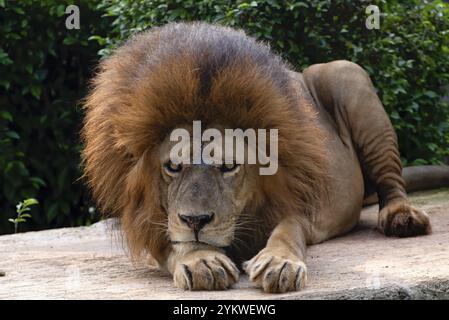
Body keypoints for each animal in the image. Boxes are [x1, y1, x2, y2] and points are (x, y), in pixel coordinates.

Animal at [81, 21, 448, 292]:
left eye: (229, 166)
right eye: (173, 167)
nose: (196, 221)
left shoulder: (296, 204)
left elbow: (286, 231)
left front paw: (279, 263)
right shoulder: (147, 220)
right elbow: (174, 239)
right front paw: (202, 259)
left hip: (346, 74)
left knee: (392, 183)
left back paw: (402, 218)